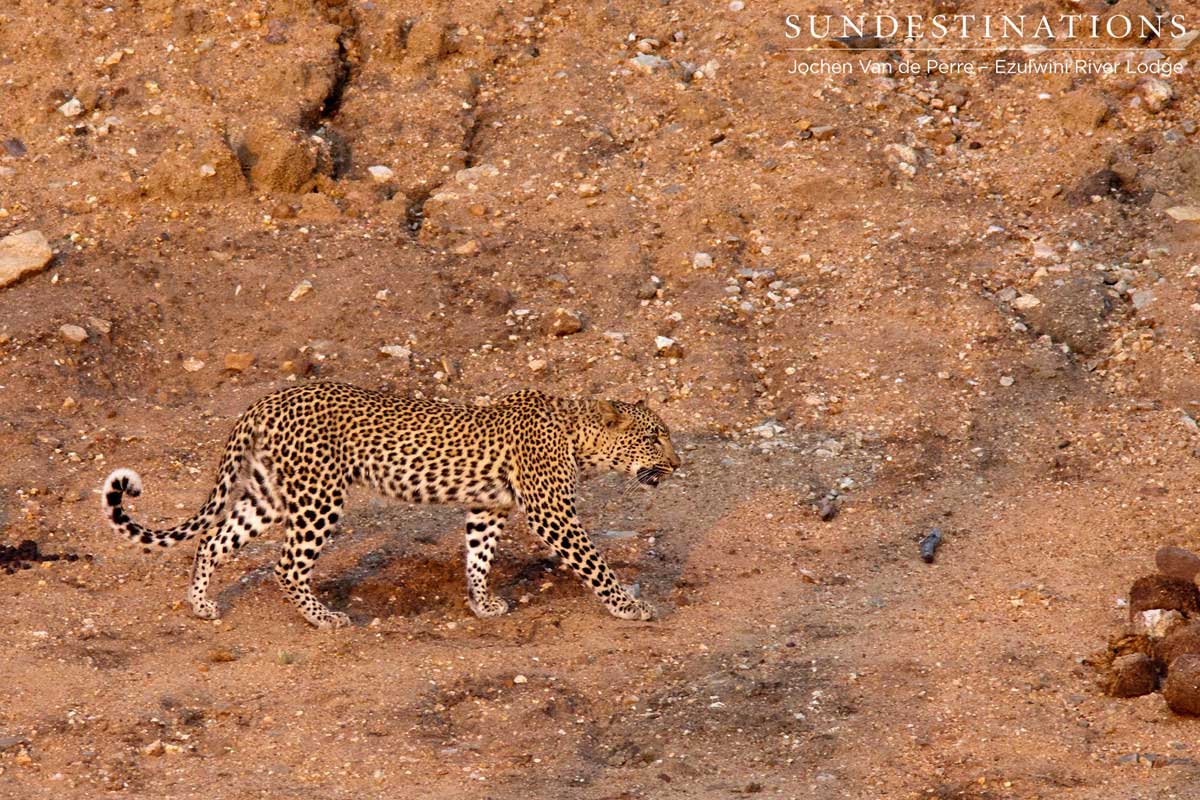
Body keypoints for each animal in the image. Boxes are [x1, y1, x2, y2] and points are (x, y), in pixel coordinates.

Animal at [101, 382, 681, 629]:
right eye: (655, 437)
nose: (678, 464)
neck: (577, 435)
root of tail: (265, 401)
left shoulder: (487, 509)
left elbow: (478, 557)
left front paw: (482, 604)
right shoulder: (551, 512)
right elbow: (595, 564)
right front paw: (629, 607)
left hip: (270, 494)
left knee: (214, 538)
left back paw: (200, 604)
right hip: (319, 496)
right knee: (286, 564)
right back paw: (325, 618)